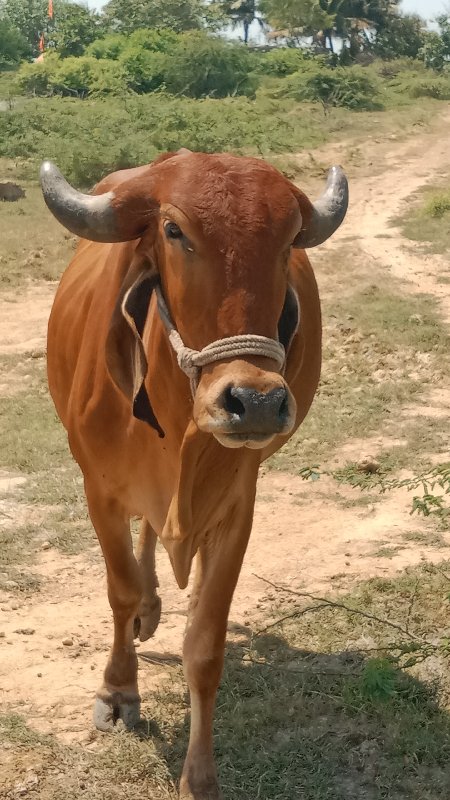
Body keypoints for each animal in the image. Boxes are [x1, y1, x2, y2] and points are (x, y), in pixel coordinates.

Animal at [40, 152, 348, 800]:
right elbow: (119, 591)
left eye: (288, 239)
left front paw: (199, 777)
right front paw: (118, 691)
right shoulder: (98, 491)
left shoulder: (236, 506)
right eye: (174, 230)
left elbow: (205, 645)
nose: (255, 403)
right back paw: (147, 608)